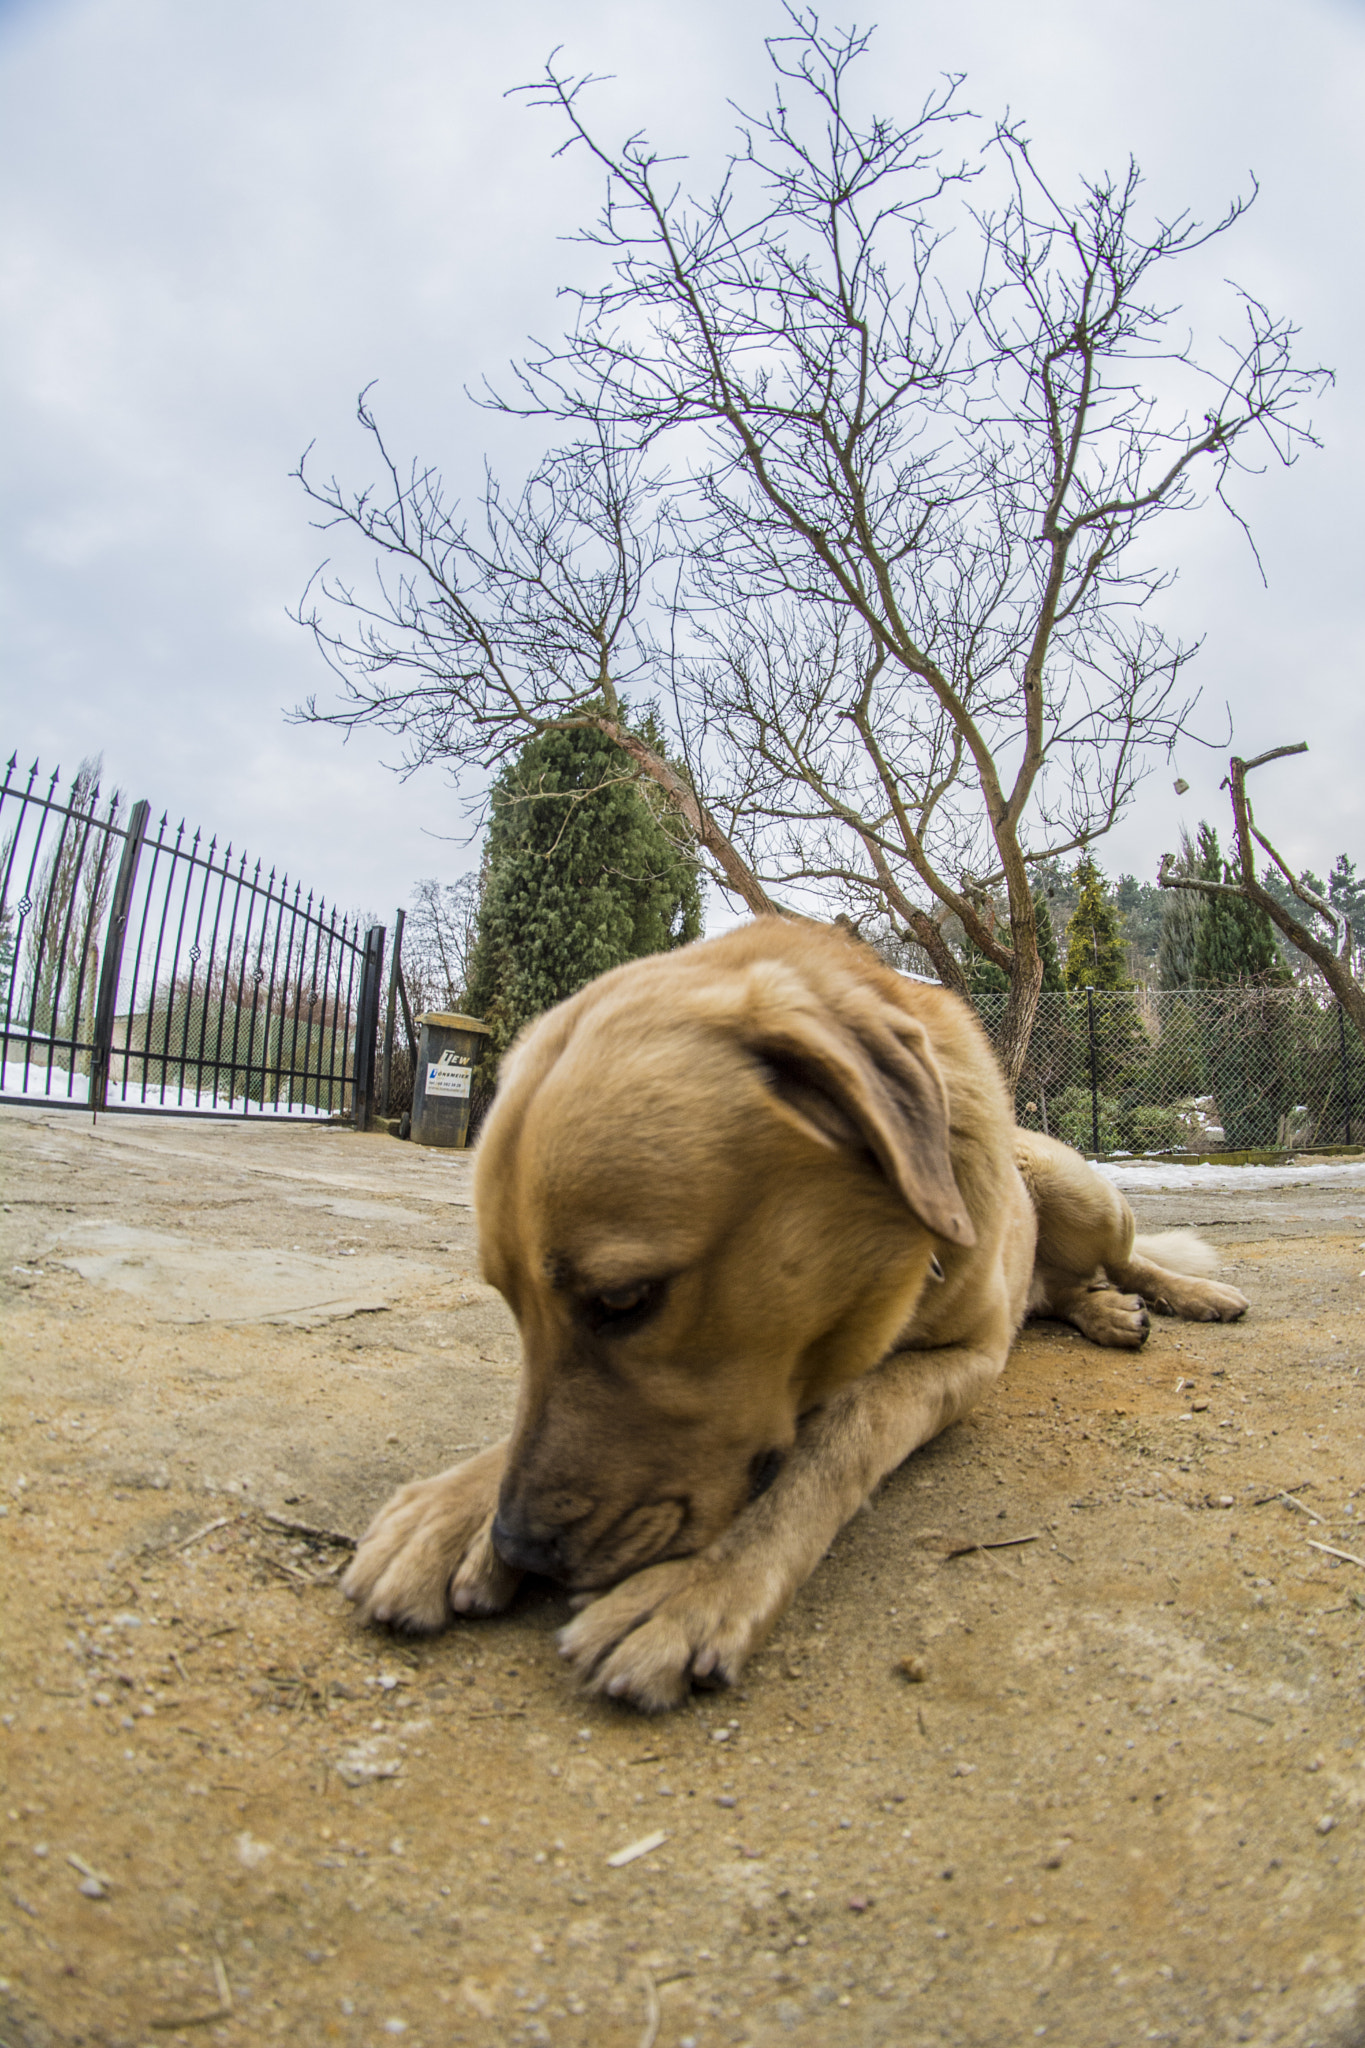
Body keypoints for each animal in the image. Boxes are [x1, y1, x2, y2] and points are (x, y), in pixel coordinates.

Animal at [343, 921, 1252, 1703]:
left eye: (624, 1300)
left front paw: (701, 1579)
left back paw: (1180, 1295)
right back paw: (1101, 1309)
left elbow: (841, 1431)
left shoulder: (964, 1356)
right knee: (1065, 1288)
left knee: (1124, 1256)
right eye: (511, 1305)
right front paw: (450, 1510)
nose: (517, 1544)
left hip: (1086, 1196)